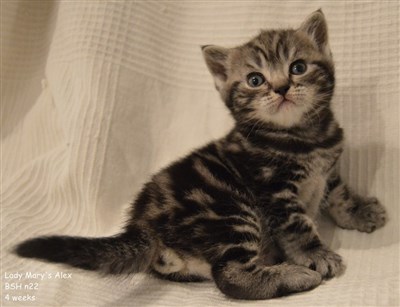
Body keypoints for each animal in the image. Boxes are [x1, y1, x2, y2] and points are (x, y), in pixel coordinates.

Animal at [15, 10, 388, 300]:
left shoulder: (329, 168)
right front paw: (316, 254)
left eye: (297, 67)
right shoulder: (274, 191)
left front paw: (360, 211)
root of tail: (144, 224)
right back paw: (293, 275)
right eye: (255, 80)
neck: (304, 138)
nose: (281, 88)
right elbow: (298, 225)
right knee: (231, 277)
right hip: (229, 211)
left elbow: (337, 194)